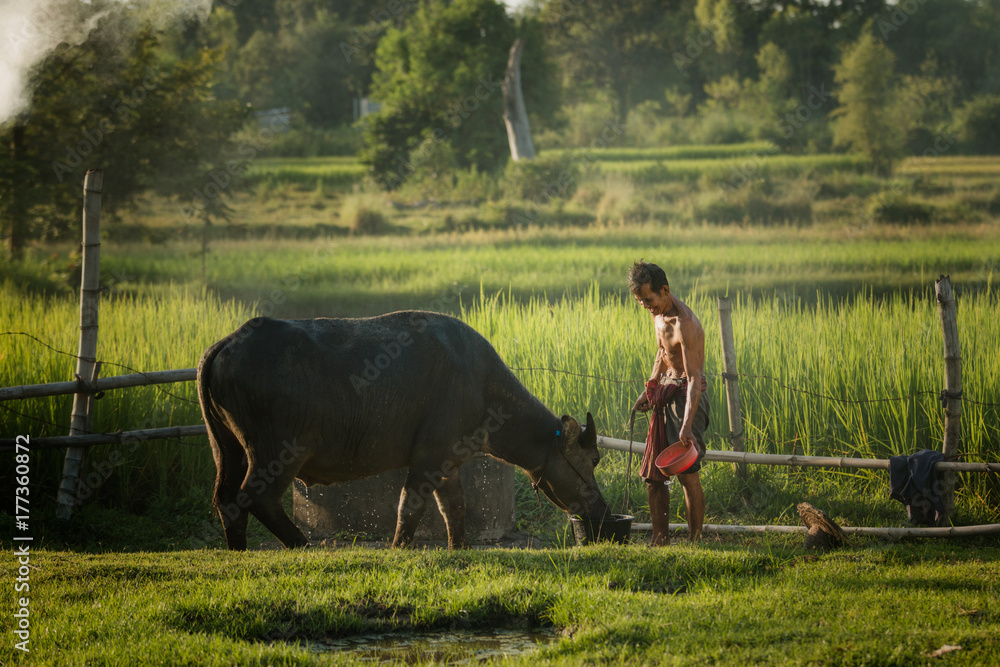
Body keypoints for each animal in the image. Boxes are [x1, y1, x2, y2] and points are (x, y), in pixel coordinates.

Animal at [197, 310, 608, 552]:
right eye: (594, 458)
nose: (602, 508)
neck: (483, 386)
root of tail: (226, 344)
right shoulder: (428, 457)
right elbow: (410, 504)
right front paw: (399, 547)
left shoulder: (449, 460)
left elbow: (455, 506)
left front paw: (458, 547)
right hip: (277, 452)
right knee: (257, 497)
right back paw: (301, 544)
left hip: (227, 448)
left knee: (227, 499)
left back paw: (238, 549)